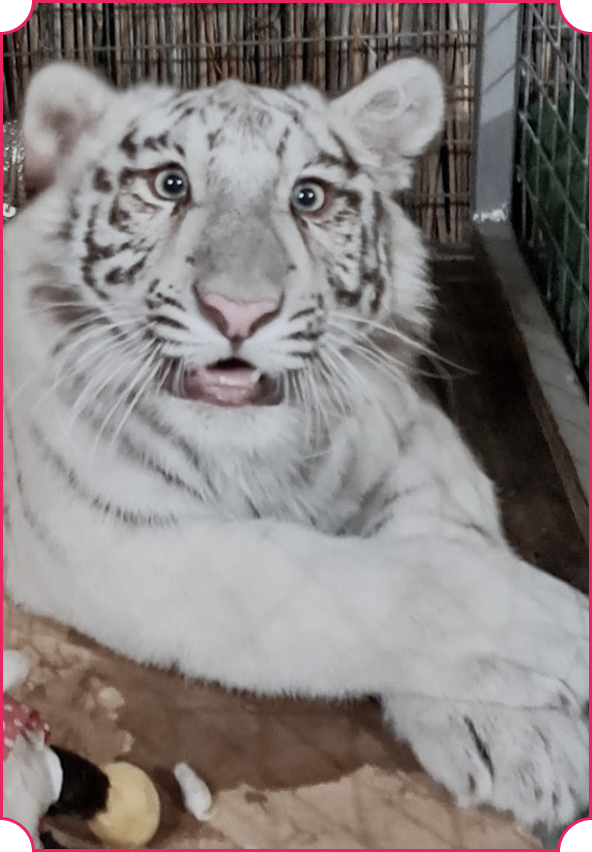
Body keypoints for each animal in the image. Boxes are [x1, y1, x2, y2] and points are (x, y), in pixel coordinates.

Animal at [3, 58, 588, 834]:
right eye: (170, 185)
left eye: (308, 197)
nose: (238, 311)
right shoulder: (120, 536)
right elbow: (371, 583)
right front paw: (564, 638)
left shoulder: (414, 429)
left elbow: (442, 541)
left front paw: (523, 739)